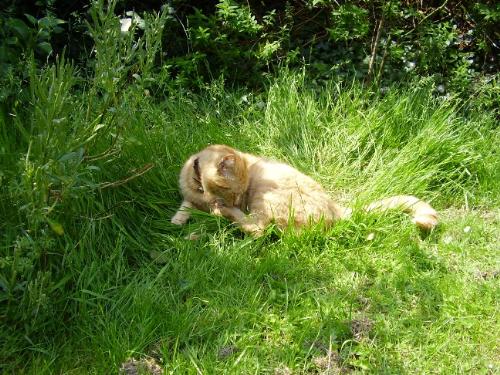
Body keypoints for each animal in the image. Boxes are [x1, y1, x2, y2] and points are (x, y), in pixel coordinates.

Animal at [172, 145, 438, 236]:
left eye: (241, 192)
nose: (237, 202)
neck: (199, 191)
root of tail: (336, 208)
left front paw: (215, 210)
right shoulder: (190, 196)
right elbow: (184, 206)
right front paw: (178, 220)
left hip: (266, 198)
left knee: (258, 230)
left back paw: (224, 216)